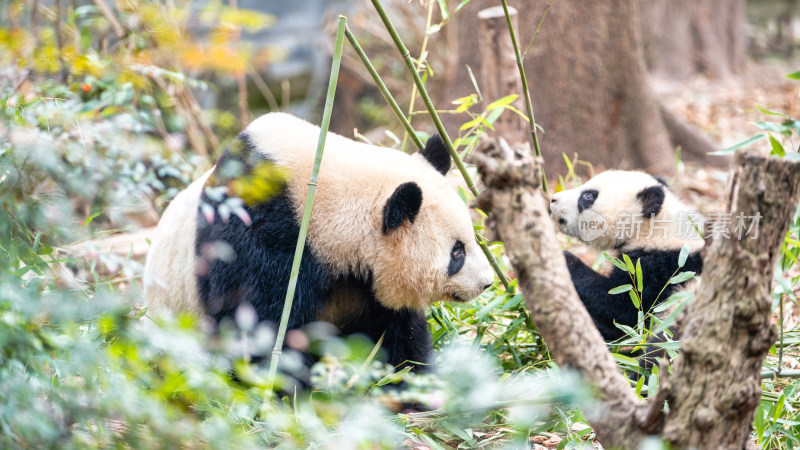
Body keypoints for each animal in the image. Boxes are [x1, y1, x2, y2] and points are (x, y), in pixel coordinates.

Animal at [144, 113, 494, 372]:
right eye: (457, 252)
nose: (488, 282)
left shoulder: (364, 283)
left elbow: (395, 335)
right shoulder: (259, 229)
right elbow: (257, 324)